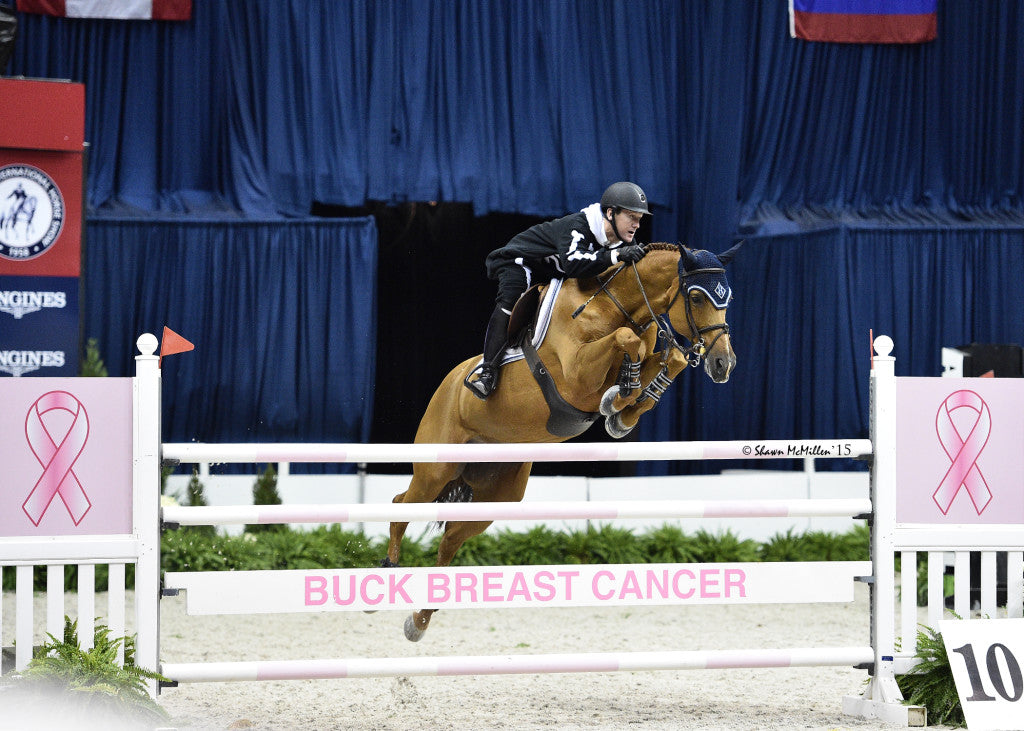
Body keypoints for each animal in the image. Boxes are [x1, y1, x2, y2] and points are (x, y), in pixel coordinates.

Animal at [382, 240, 737, 638]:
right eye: (696, 297)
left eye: (727, 298)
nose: (724, 364)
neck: (616, 305)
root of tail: (448, 383)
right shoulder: (578, 375)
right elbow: (627, 342)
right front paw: (619, 398)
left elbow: (668, 357)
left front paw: (623, 412)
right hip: (436, 468)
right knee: (400, 506)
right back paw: (388, 574)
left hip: (499, 494)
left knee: (450, 539)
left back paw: (419, 620)